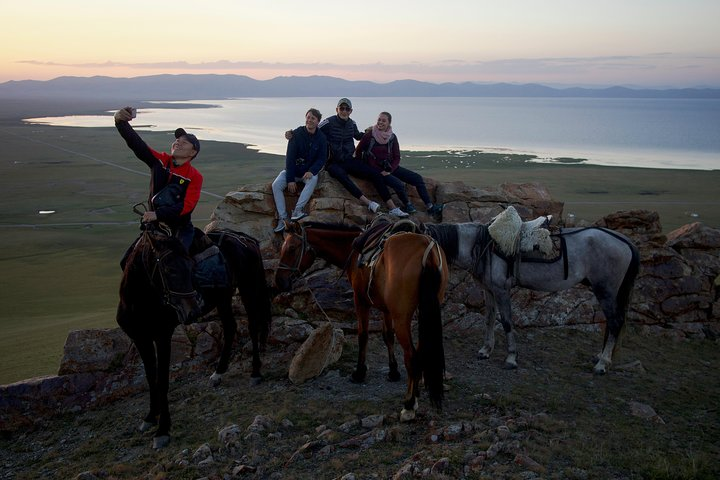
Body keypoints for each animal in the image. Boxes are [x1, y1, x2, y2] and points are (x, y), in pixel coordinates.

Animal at [118, 223, 270, 448]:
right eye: (169, 269)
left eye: (191, 267)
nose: (192, 311)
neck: (139, 301)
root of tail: (246, 239)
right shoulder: (140, 338)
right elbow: (150, 378)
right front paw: (150, 417)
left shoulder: (163, 337)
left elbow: (162, 381)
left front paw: (163, 430)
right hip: (224, 298)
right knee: (230, 327)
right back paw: (218, 373)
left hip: (248, 289)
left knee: (253, 327)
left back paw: (255, 373)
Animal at [274, 221, 448, 420]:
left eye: (291, 248)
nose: (279, 281)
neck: (353, 250)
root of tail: (426, 251)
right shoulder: (385, 308)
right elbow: (388, 336)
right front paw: (393, 371)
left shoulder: (360, 301)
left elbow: (363, 335)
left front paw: (359, 372)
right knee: (420, 350)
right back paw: (415, 394)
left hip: (402, 316)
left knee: (412, 356)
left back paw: (409, 405)